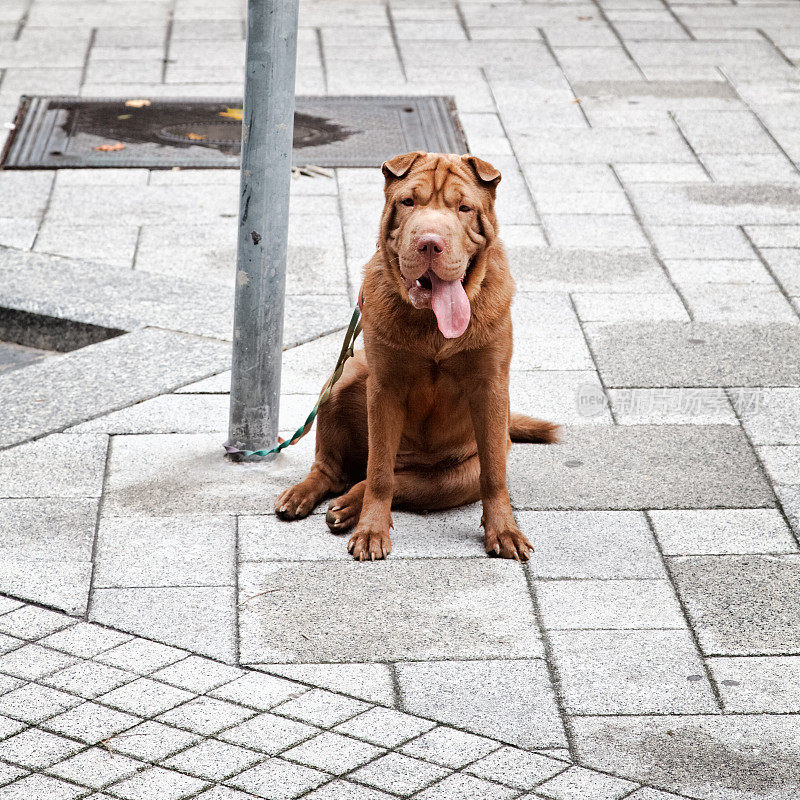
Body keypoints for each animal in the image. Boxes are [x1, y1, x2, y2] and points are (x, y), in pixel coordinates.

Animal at [276, 152, 556, 564]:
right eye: (408, 202)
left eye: (463, 208)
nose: (429, 243)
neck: (432, 326)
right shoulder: (384, 389)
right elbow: (378, 472)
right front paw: (371, 531)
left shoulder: (490, 388)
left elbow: (494, 475)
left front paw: (504, 531)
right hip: (346, 376)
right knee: (342, 470)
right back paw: (305, 495)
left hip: (455, 477)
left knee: (401, 481)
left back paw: (347, 506)